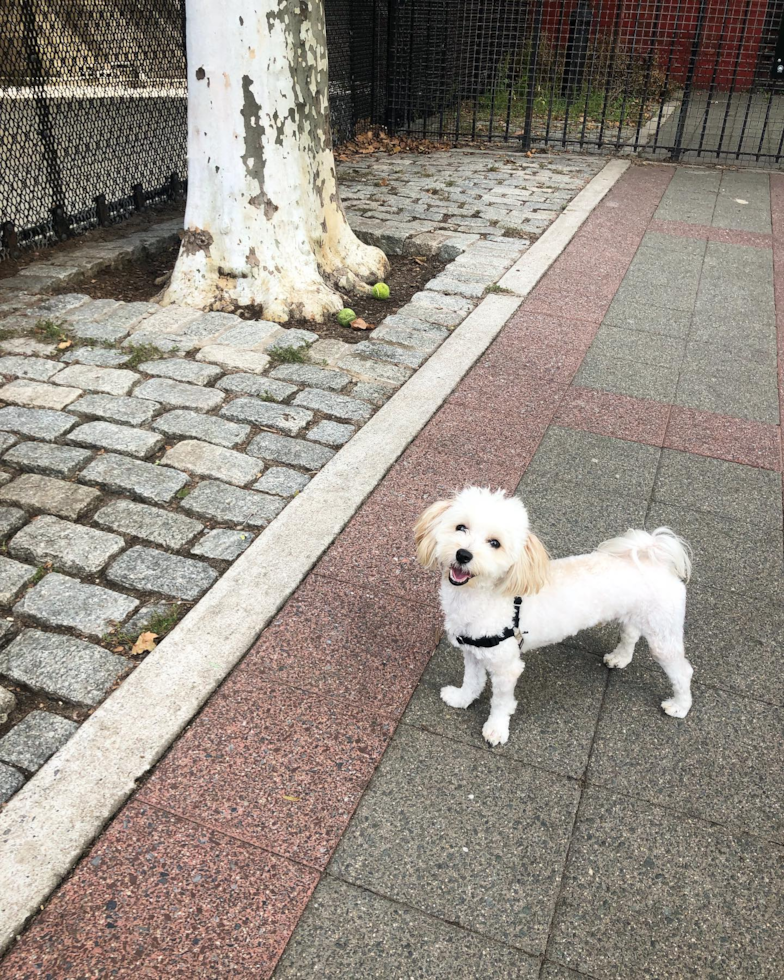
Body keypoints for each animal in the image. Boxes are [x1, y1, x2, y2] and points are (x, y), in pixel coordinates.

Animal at [414, 486, 688, 748]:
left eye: (495, 543)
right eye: (461, 527)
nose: (463, 555)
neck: (479, 597)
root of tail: (653, 558)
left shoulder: (506, 667)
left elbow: (501, 703)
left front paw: (496, 730)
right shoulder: (473, 652)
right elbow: (472, 681)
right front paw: (461, 699)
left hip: (663, 633)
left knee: (683, 672)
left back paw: (679, 706)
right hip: (633, 613)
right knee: (630, 633)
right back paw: (620, 658)